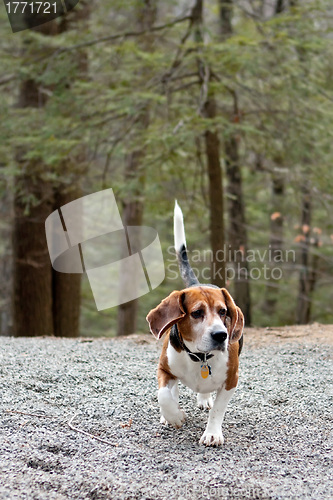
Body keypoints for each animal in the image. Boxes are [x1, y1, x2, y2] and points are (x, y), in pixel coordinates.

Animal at [147, 201, 243, 448]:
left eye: (223, 312)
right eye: (197, 313)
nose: (221, 335)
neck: (200, 357)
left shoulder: (231, 380)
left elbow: (218, 409)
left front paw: (212, 433)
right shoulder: (164, 368)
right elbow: (163, 395)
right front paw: (174, 416)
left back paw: (204, 397)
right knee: (172, 391)